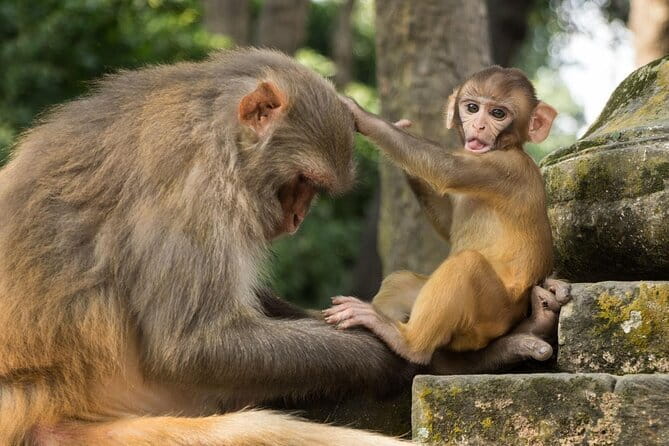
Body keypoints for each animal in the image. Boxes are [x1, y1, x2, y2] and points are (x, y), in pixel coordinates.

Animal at [325, 66, 569, 366]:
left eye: (498, 113)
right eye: (472, 108)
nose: (479, 126)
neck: (506, 147)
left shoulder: (504, 168)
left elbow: (447, 169)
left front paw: (361, 115)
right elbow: (447, 222)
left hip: (489, 318)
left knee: (466, 265)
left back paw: (408, 343)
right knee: (401, 281)